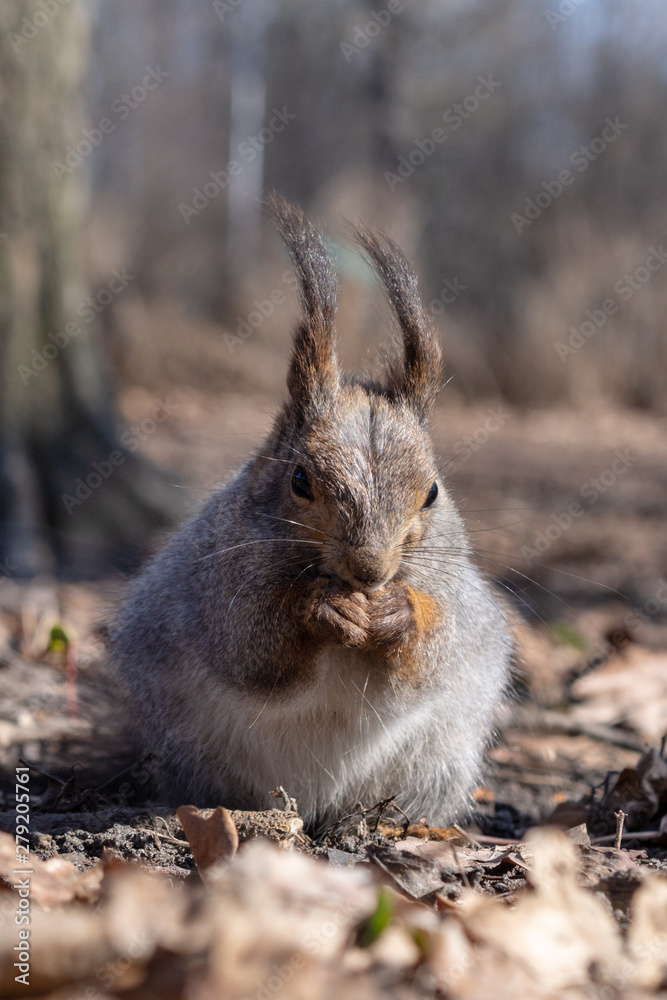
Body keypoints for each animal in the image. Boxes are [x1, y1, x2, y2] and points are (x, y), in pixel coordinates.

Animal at [111, 196, 512, 827]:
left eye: (432, 492)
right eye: (300, 480)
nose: (370, 571)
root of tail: (319, 805)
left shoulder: (454, 590)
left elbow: (434, 651)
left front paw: (397, 611)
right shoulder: (217, 584)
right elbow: (251, 645)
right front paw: (321, 608)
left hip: (437, 765)